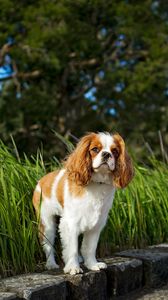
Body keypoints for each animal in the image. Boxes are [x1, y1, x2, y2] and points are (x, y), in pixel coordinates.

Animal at [32, 132, 135, 276]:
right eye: (95, 149)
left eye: (115, 151)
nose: (106, 154)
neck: (98, 183)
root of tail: (41, 181)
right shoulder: (70, 223)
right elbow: (72, 248)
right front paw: (73, 267)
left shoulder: (96, 225)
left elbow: (90, 247)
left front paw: (92, 265)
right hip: (46, 223)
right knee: (48, 245)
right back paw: (51, 264)